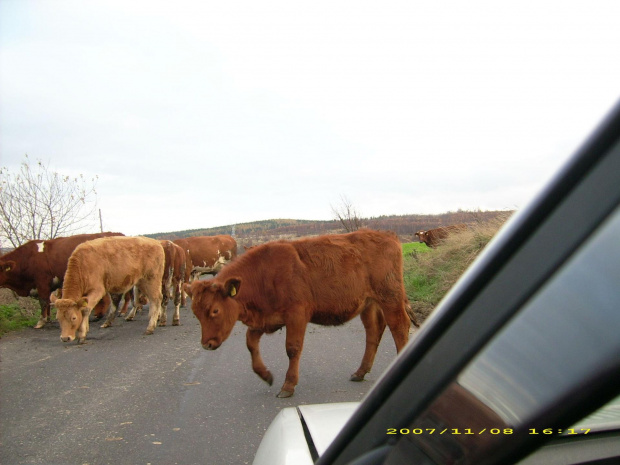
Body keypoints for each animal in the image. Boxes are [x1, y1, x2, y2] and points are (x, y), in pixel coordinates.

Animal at [185, 230, 416, 396]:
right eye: (195, 313)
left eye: (215, 310)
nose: (206, 344)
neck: (263, 275)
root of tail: (387, 235)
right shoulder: (267, 320)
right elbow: (251, 343)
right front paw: (265, 375)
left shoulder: (296, 315)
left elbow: (292, 349)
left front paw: (288, 385)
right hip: (368, 304)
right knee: (374, 331)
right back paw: (360, 372)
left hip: (390, 298)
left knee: (399, 327)